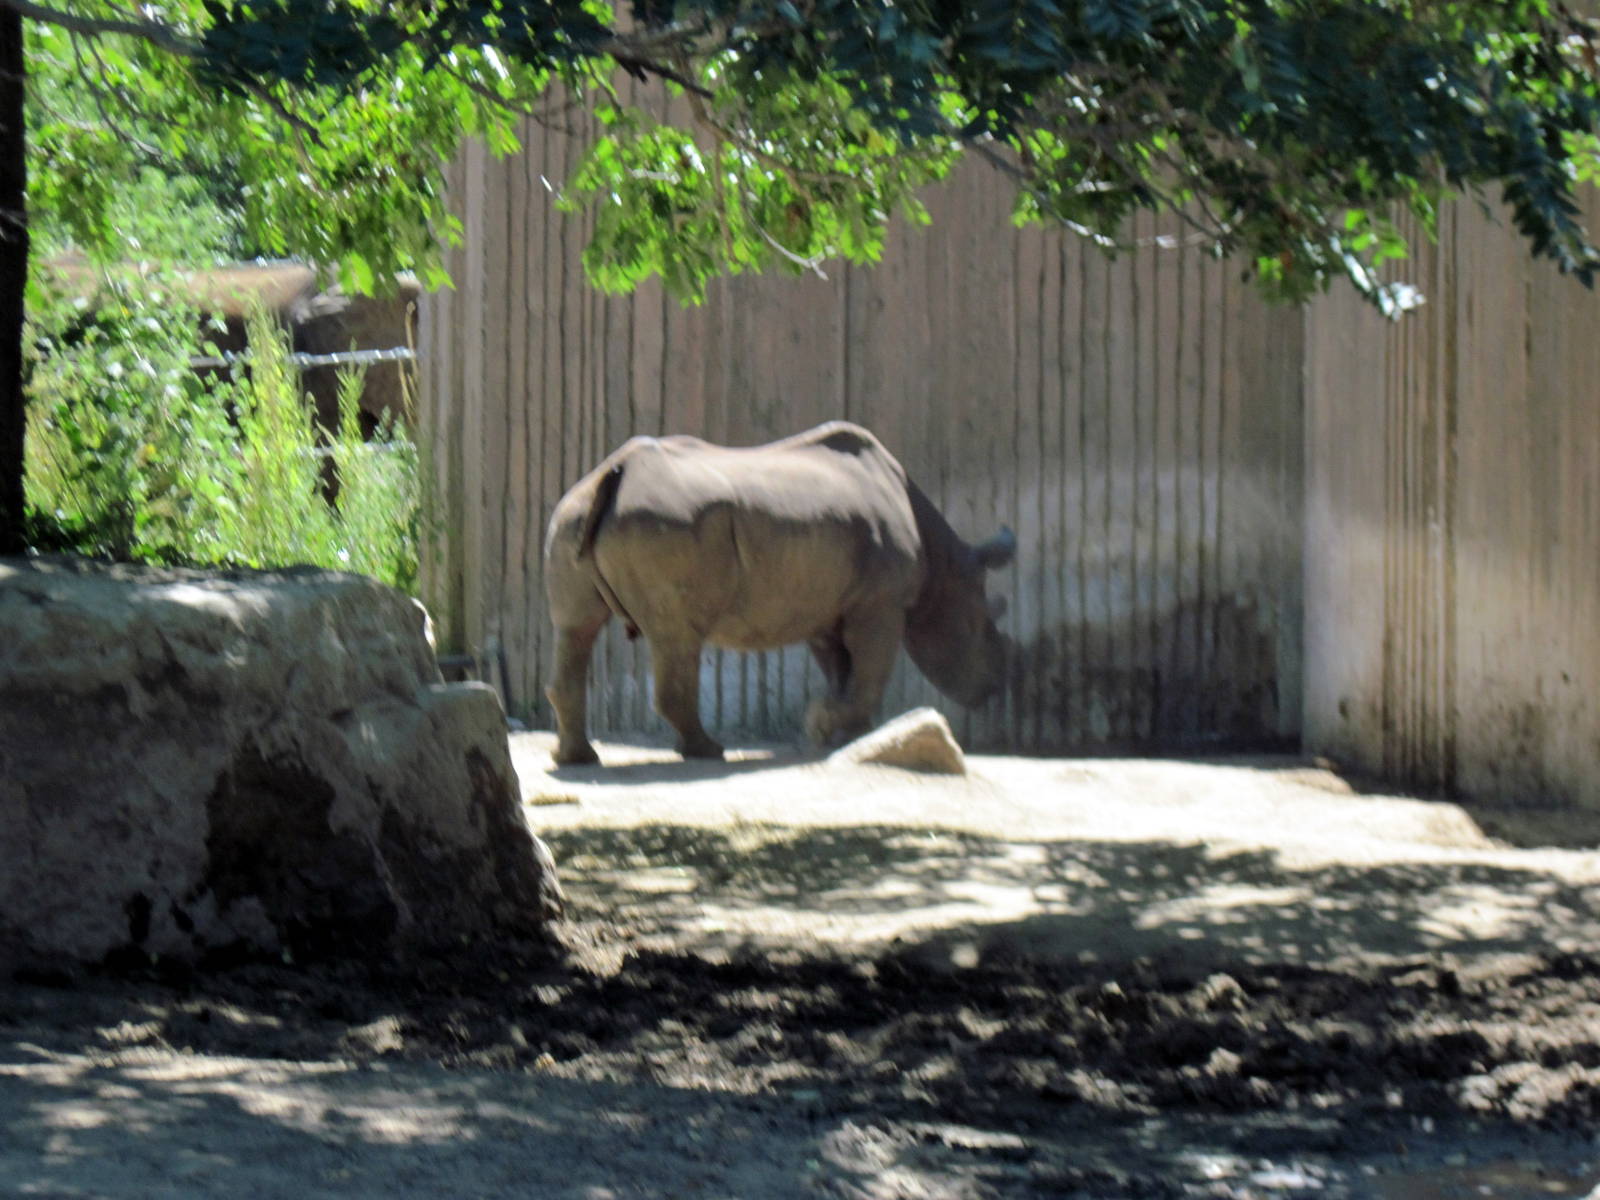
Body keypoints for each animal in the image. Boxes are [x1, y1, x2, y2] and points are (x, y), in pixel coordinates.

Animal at [543, 421, 1016, 765]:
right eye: (984, 626)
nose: (994, 686)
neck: (944, 563)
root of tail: (612, 475)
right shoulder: (881, 603)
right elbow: (869, 670)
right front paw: (825, 723)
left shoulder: (829, 606)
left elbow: (843, 668)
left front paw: (848, 735)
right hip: (664, 523)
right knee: (677, 634)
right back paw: (708, 752)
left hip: (569, 516)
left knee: (576, 628)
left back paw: (577, 759)